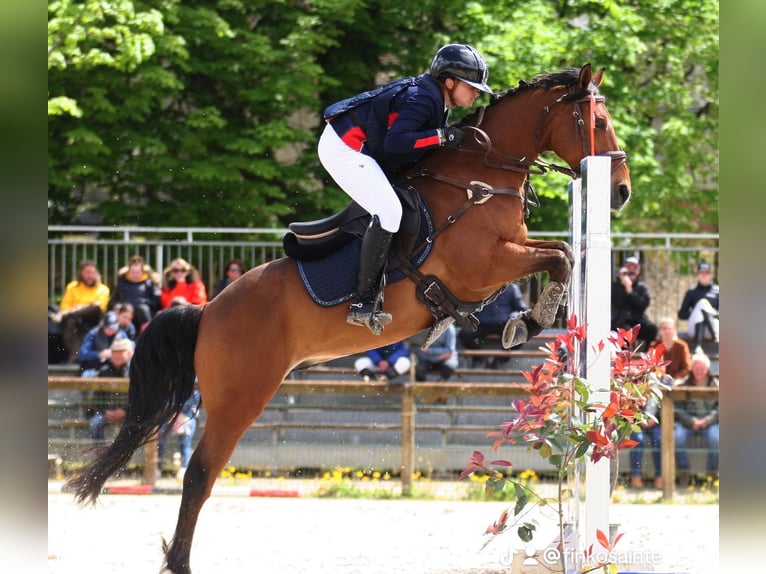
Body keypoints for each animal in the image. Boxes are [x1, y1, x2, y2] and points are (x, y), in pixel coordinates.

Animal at [67, 64, 632, 574]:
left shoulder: (506, 256)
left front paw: (523, 320)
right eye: (599, 120)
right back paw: (180, 562)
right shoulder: (483, 267)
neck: (480, 179)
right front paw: (528, 323)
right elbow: (560, 257)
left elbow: (561, 252)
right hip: (239, 397)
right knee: (199, 475)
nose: (622, 191)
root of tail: (208, 309)